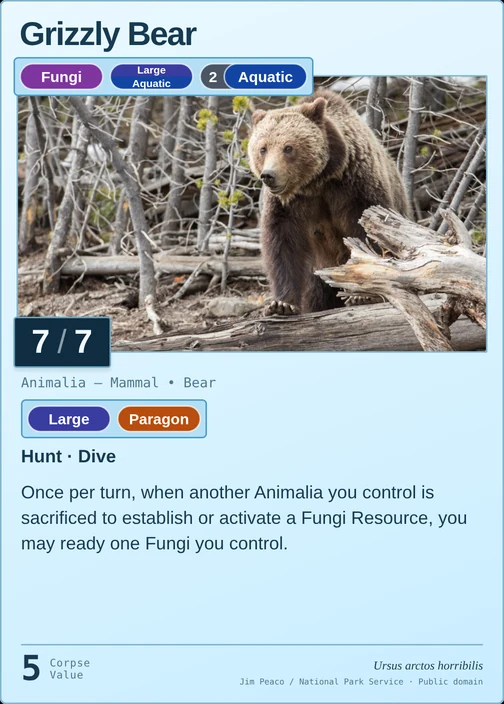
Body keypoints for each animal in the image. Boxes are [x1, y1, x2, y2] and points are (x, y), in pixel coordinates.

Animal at [248, 89, 410, 315]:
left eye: (288, 148)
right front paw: (282, 304)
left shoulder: (355, 188)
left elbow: (369, 234)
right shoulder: (287, 206)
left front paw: (362, 295)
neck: (316, 181)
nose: (268, 175)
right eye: (263, 148)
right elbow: (283, 245)